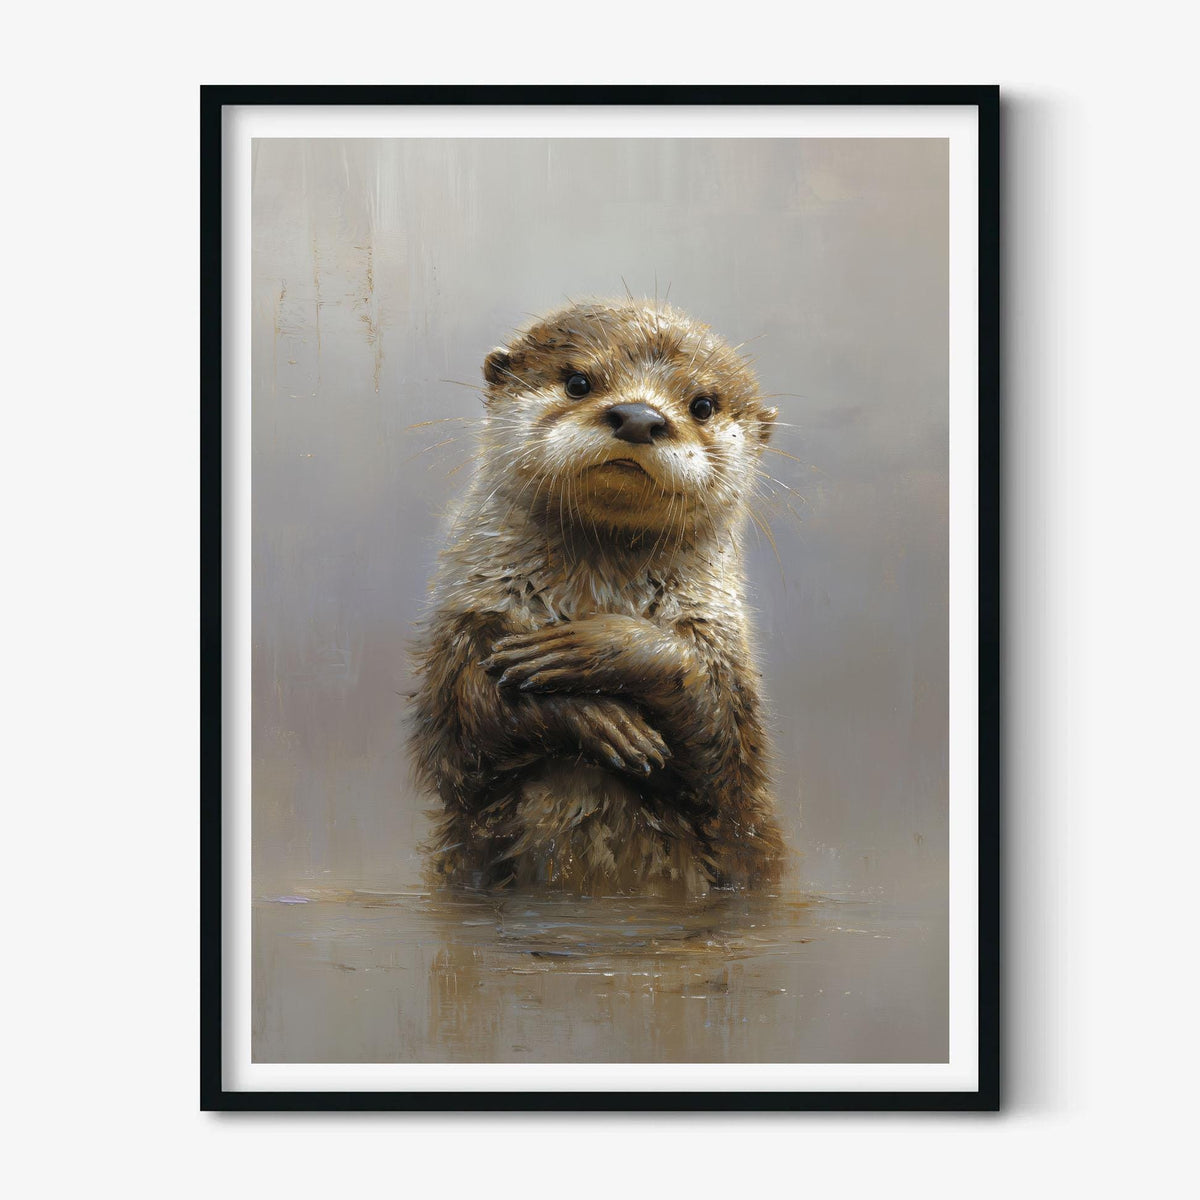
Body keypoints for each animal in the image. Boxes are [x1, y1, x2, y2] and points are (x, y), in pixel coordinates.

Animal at [410, 299, 785, 894]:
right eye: (578, 382)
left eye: (702, 404)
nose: (638, 417)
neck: (599, 590)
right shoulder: (465, 630)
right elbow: (465, 723)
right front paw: (596, 716)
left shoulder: (727, 667)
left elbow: (721, 752)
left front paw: (595, 647)